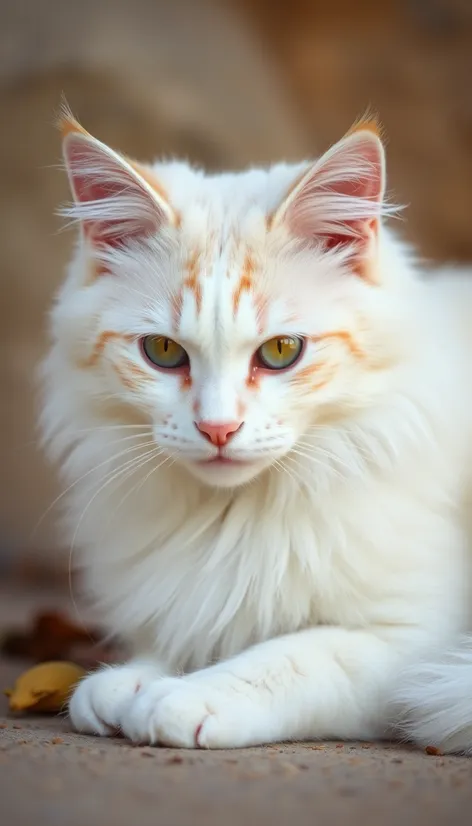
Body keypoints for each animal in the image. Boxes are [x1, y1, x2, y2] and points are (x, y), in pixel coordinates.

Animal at [39, 109, 472, 752]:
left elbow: (292, 657)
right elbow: (174, 639)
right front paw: (131, 680)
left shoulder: (411, 639)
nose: (218, 427)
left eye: (282, 351)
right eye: (163, 352)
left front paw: (185, 696)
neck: (234, 519)